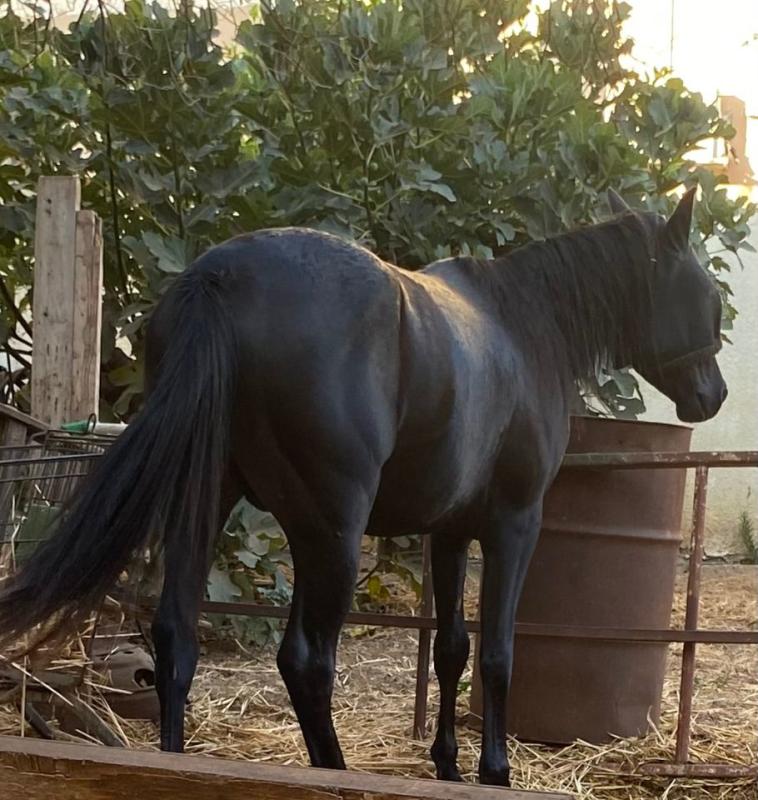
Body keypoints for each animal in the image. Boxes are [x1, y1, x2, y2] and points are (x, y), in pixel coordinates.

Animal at [0, 187, 726, 786]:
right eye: (706, 297)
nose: (714, 394)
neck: (523, 329)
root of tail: (221, 278)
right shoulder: (514, 524)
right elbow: (497, 652)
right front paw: (493, 771)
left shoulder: (449, 532)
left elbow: (451, 650)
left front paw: (448, 765)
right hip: (329, 532)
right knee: (307, 660)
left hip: (209, 505)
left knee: (177, 637)